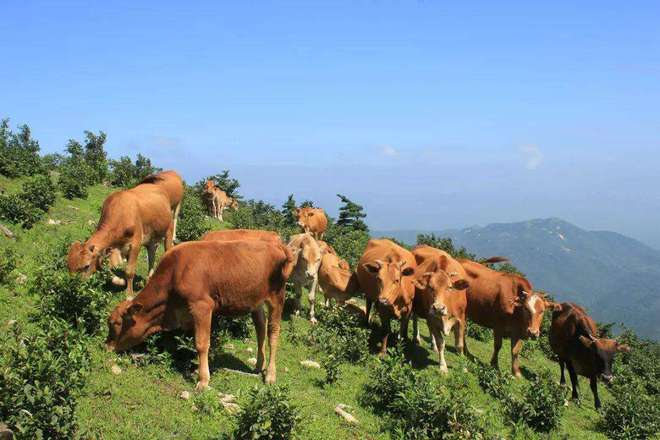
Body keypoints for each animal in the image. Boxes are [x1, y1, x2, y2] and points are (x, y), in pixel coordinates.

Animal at [105, 241, 292, 388]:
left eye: (115, 323)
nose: (106, 346)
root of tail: (276, 245)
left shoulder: (202, 306)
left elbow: (201, 343)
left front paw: (203, 380)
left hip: (277, 298)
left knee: (273, 334)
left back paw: (270, 375)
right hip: (256, 301)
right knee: (261, 329)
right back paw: (259, 365)